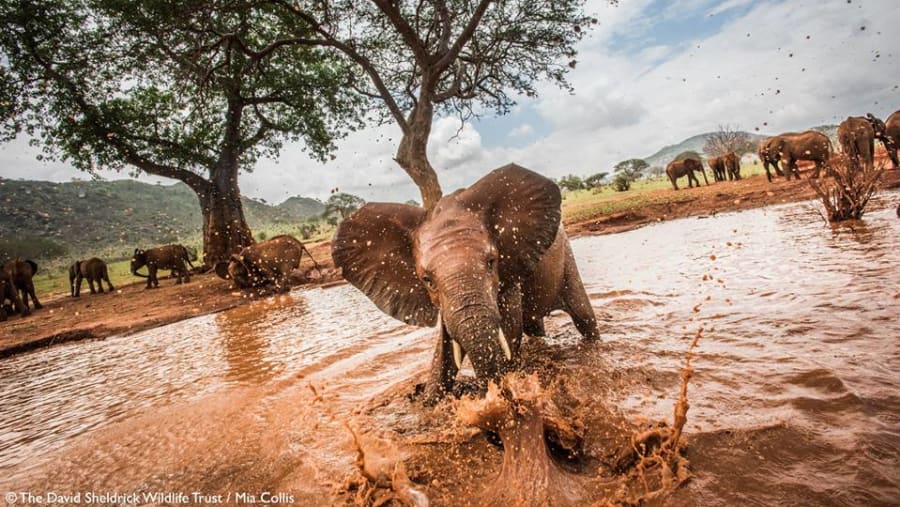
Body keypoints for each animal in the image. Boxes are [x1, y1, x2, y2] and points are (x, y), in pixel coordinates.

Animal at [332, 164, 599, 402]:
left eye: (491, 262)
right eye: (427, 280)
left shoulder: (508, 272)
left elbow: (508, 334)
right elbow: (444, 352)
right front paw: (430, 400)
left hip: (566, 257)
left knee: (584, 317)